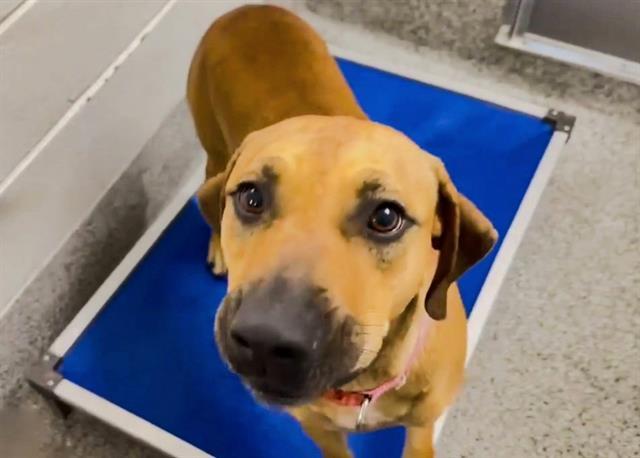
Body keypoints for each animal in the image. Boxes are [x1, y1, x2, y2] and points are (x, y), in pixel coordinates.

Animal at [188, 4, 498, 458]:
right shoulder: (319, 429)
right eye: (251, 197)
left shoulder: (423, 427)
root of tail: (248, 10)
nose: (265, 340)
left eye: (386, 217)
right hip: (212, 146)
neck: (364, 386)